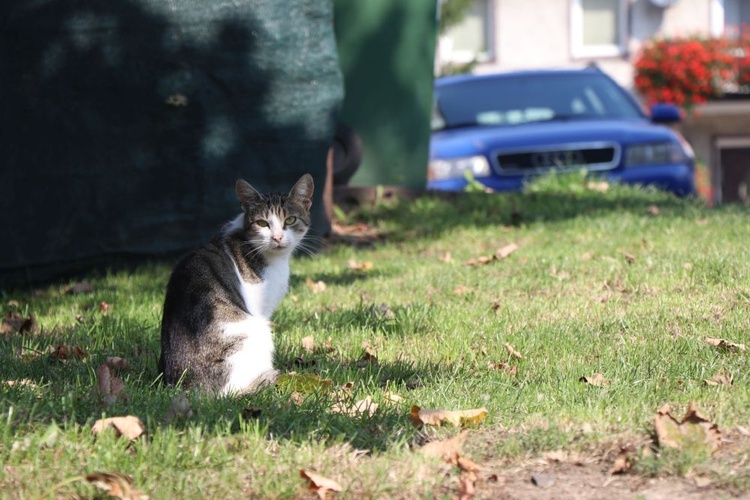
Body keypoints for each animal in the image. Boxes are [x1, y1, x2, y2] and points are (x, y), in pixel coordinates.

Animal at [157, 174, 312, 396]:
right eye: (262, 223)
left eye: (290, 220)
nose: (277, 238)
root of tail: (187, 389)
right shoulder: (260, 307)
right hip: (256, 330)